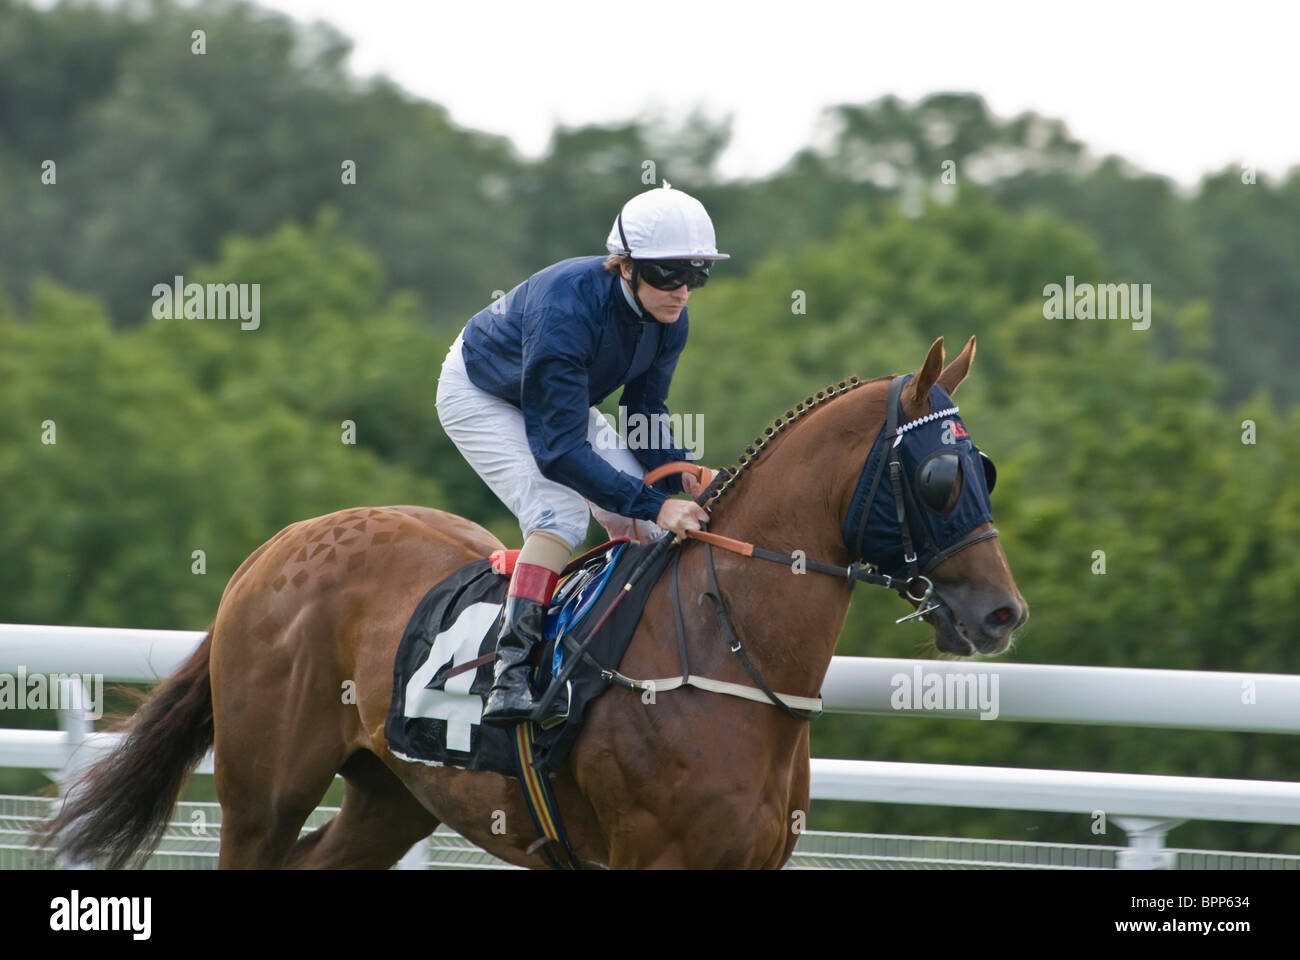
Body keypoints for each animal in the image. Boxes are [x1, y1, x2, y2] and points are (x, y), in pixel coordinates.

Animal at [45, 335, 1024, 868]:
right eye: (940, 478)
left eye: (985, 467)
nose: (1002, 613)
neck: (723, 650)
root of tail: (275, 548)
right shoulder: (654, 858)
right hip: (262, 791)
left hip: (393, 795)